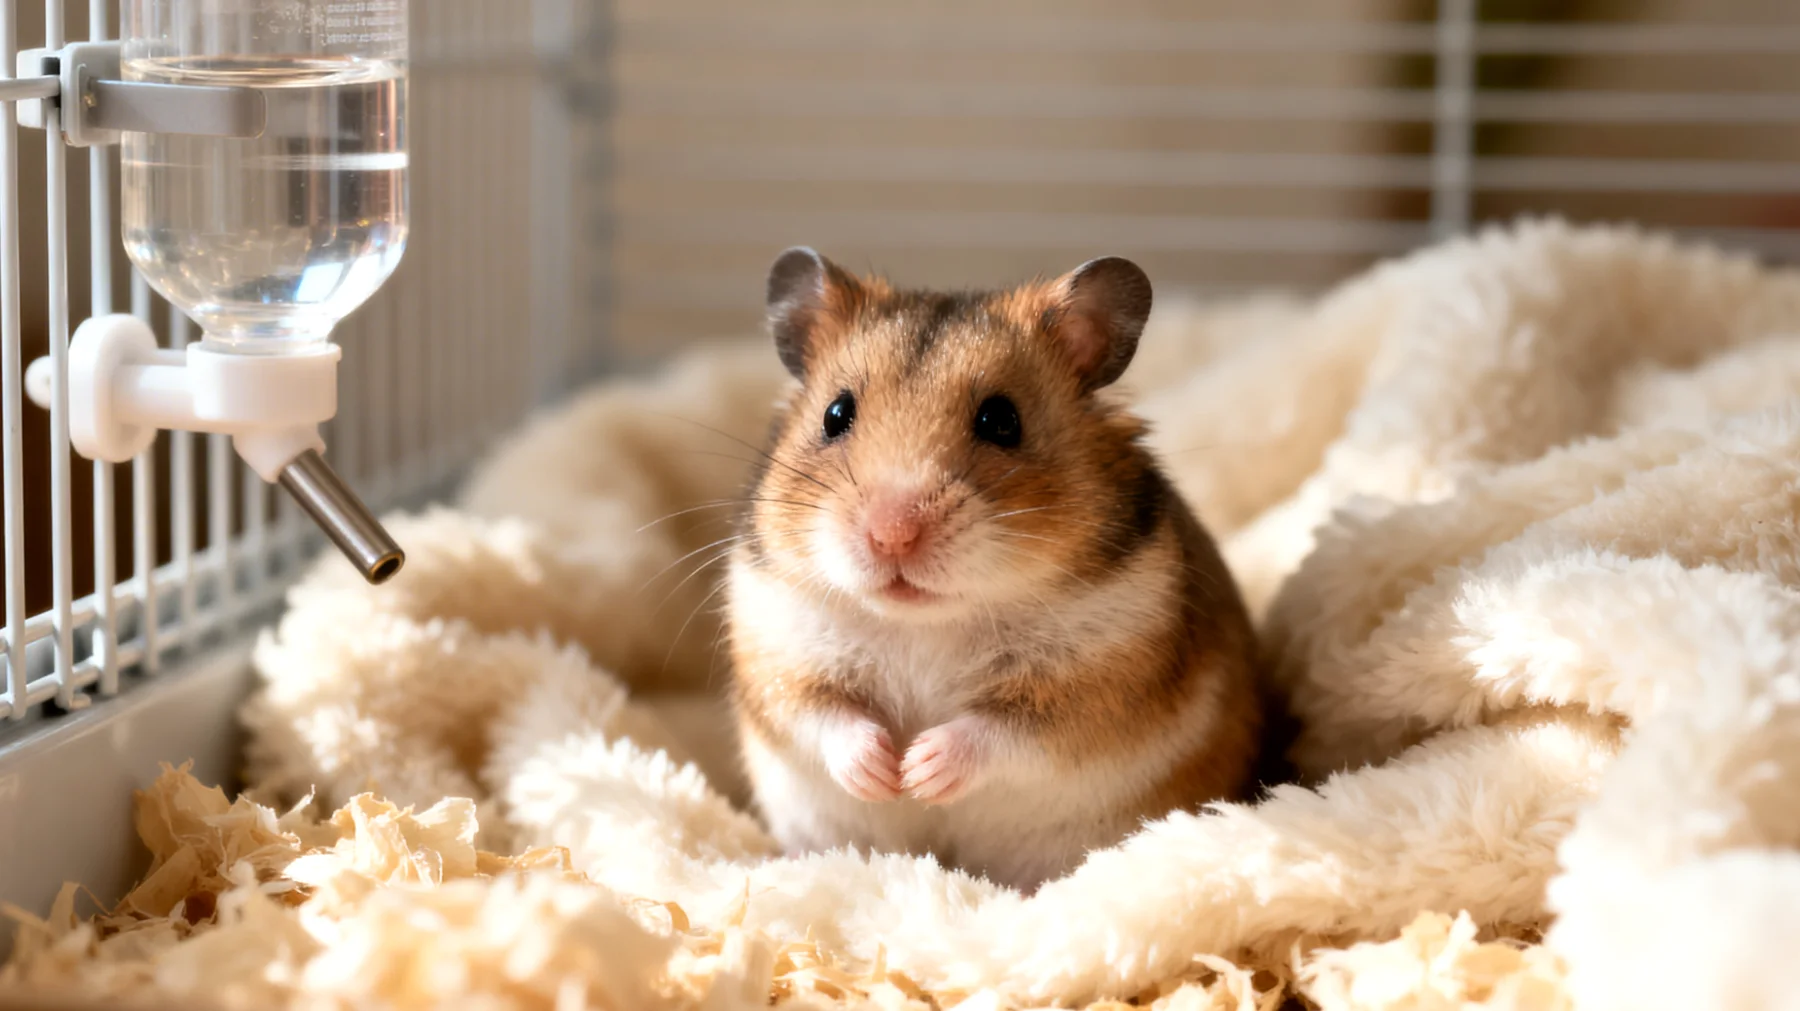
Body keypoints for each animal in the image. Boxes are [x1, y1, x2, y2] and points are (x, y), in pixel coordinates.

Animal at [723, 247, 1263, 892]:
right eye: (835, 414)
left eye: (1001, 421)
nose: (891, 534)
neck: (927, 624)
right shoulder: (781, 655)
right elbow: (826, 717)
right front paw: (885, 774)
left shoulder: (1093, 686)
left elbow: (1001, 735)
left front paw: (919, 771)